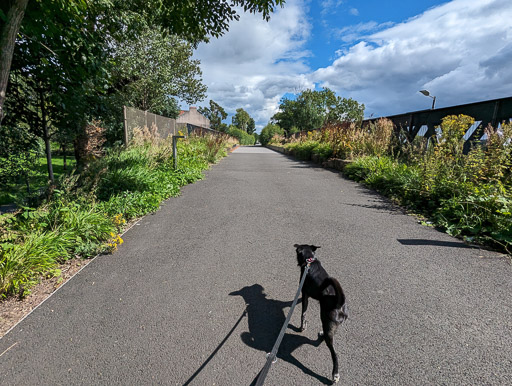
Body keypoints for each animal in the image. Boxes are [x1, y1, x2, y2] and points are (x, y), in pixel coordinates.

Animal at [294, 244, 350, 382]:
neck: (309, 261)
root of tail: (339, 302)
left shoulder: (304, 294)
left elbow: (303, 313)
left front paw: (302, 327)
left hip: (325, 319)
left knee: (334, 353)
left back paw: (335, 374)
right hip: (330, 324)